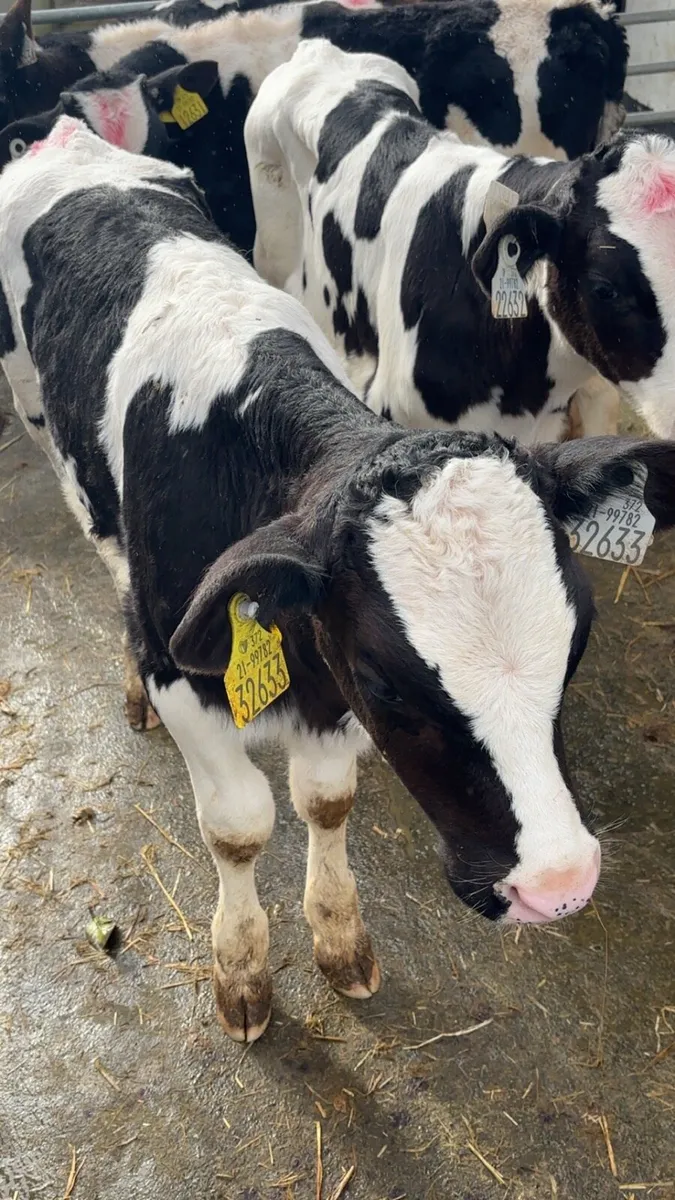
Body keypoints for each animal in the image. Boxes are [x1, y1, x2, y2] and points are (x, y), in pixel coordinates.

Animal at [4, 117, 674, 1039]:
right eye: (386, 684)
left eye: (573, 651)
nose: (558, 886)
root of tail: (65, 132)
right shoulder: (188, 670)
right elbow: (240, 825)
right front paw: (241, 971)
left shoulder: (323, 680)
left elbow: (324, 801)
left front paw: (339, 938)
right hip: (36, 411)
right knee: (104, 549)